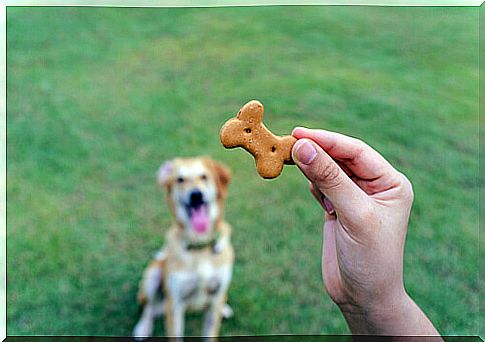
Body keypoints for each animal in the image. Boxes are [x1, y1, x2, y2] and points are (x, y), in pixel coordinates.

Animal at [132, 156, 234, 338]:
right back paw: (143, 327)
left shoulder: (216, 297)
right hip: (152, 275)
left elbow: (210, 332)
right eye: (180, 179)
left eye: (204, 177)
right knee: (148, 307)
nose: (196, 195)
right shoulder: (175, 304)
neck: (199, 246)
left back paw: (225, 308)